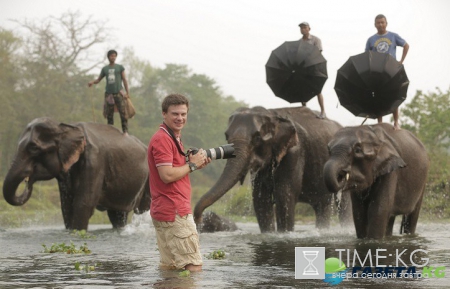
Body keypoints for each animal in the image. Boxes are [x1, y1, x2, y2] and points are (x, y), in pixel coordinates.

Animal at [2, 117, 150, 230]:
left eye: (33, 148)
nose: (28, 181)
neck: (66, 127)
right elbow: (66, 205)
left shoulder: (95, 162)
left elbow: (83, 203)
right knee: (117, 214)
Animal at [192, 106, 350, 232]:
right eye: (226, 136)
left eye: (257, 138)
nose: (199, 219)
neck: (273, 114)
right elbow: (260, 199)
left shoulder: (295, 152)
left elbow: (284, 196)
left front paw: (284, 234)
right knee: (322, 205)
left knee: (338, 205)